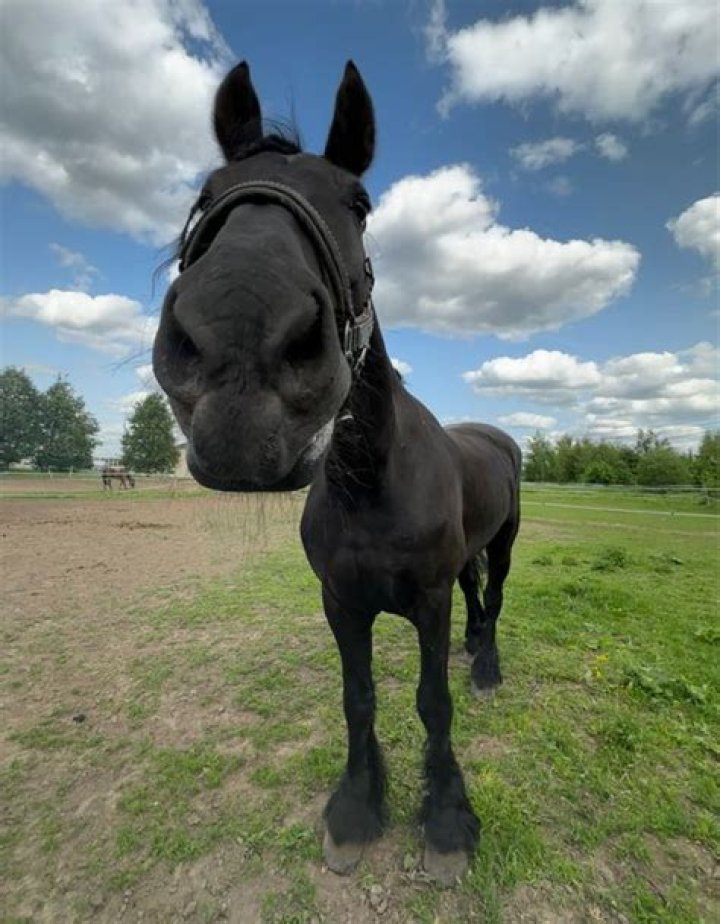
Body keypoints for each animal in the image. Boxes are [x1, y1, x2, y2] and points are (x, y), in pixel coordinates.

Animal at [153, 61, 521, 885]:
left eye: (359, 203)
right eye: (206, 195)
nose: (240, 345)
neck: (372, 485)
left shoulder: (425, 603)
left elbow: (432, 703)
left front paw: (445, 819)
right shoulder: (341, 603)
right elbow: (359, 699)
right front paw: (357, 807)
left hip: (506, 544)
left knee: (495, 598)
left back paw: (486, 666)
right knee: (478, 596)